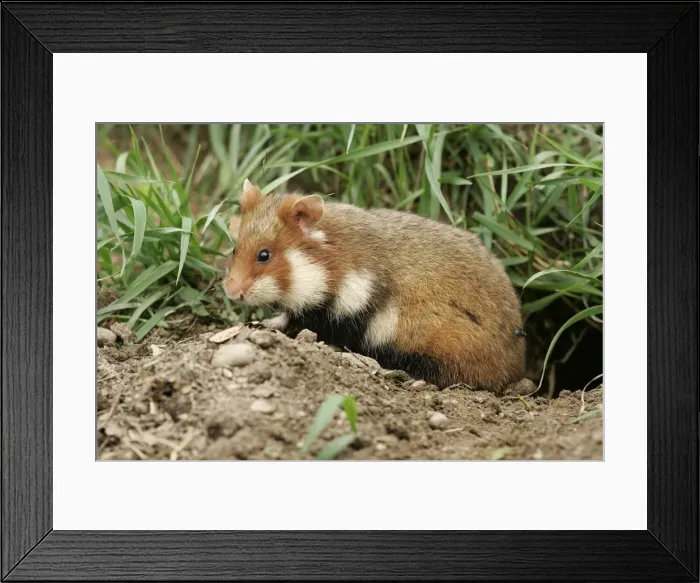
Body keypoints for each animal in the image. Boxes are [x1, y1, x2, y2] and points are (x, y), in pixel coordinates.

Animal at [224, 179, 526, 393]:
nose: (231, 293)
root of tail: (517, 367)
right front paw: (267, 324)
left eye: (264, 255)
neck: (331, 265)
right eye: (235, 249)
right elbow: (289, 315)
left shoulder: (351, 308)